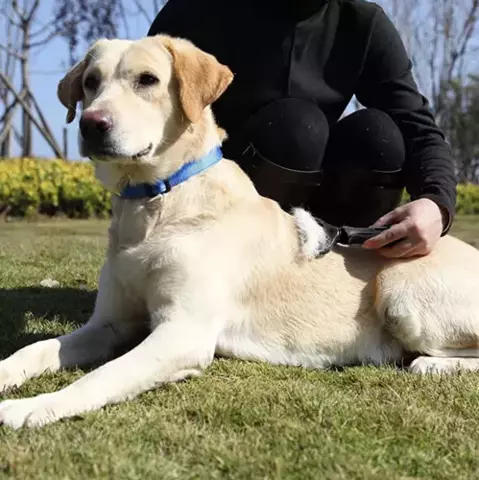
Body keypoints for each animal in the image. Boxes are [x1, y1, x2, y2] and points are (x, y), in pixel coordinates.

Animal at [0, 35, 479, 430]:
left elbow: (102, 375)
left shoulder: (184, 333)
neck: (156, 202)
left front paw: (31, 407)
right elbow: (37, 348)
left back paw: (430, 365)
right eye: (90, 82)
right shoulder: (111, 322)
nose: (91, 124)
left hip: (401, 295)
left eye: (147, 80)